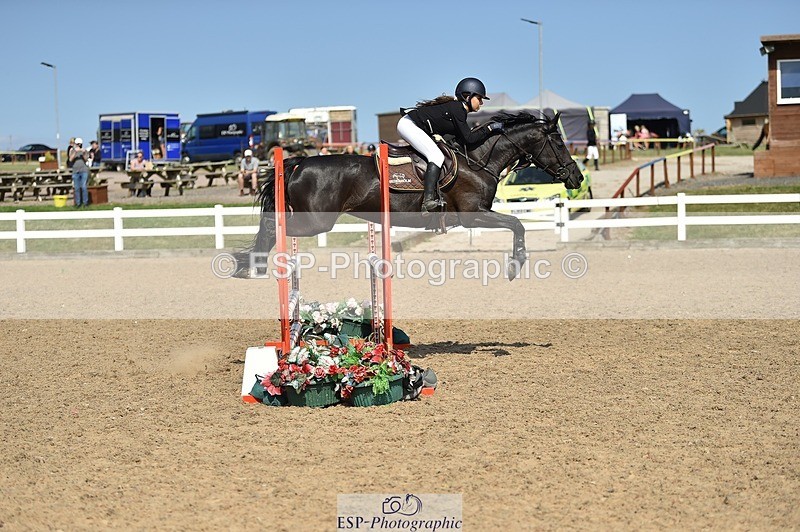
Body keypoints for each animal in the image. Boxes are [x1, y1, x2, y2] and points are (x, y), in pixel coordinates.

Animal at [233, 111, 583, 280]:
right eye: (559, 143)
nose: (577, 178)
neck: (477, 159)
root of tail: (297, 163)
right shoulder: (473, 215)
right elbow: (517, 225)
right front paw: (516, 265)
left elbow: (516, 225)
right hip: (316, 222)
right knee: (273, 227)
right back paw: (251, 264)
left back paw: (253, 265)